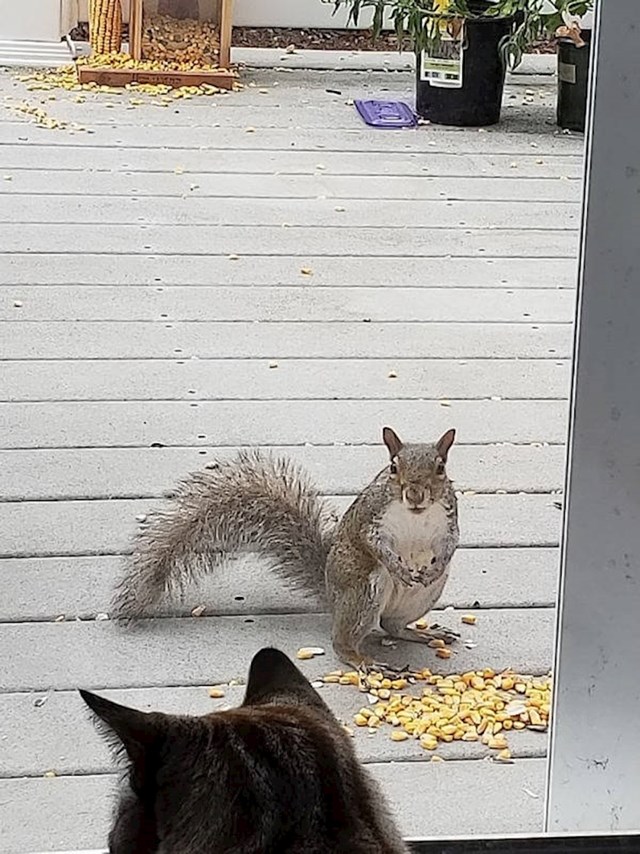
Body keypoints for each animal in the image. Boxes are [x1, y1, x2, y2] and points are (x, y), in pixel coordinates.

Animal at [112, 426, 458, 668]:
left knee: (392, 626)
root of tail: (332, 597)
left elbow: (450, 543)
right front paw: (398, 566)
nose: (415, 494)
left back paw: (423, 633)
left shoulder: (448, 521)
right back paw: (359, 658)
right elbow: (373, 544)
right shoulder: (370, 519)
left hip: (426, 595)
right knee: (344, 639)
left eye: (441, 467)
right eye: (393, 467)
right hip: (364, 590)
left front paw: (433, 565)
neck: (416, 515)